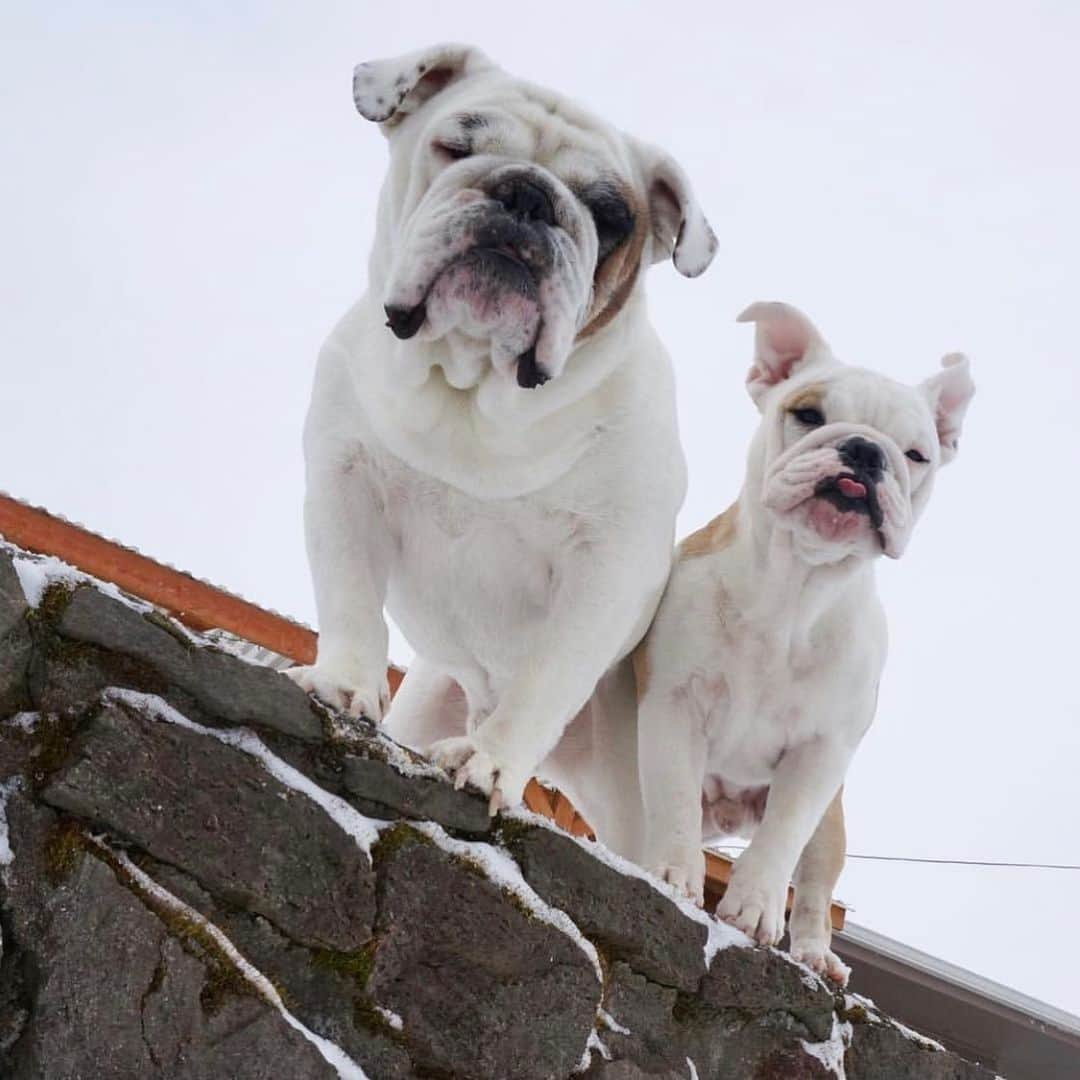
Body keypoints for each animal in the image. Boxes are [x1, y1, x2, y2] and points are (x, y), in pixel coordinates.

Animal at [289, 38, 717, 820]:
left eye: (610, 214)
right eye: (456, 147)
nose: (526, 194)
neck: (472, 391)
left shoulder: (605, 571)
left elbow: (544, 679)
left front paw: (489, 764)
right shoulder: (344, 482)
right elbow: (351, 601)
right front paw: (341, 684)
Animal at [635, 302, 976, 980]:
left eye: (917, 454)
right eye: (809, 414)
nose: (865, 450)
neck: (795, 589)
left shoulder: (821, 753)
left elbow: (782, 839)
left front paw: (753, 908)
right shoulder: (673, 705)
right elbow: (673, 801)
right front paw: (673, 876)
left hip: (830, 824)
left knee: (815, 889)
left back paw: (817, 954)